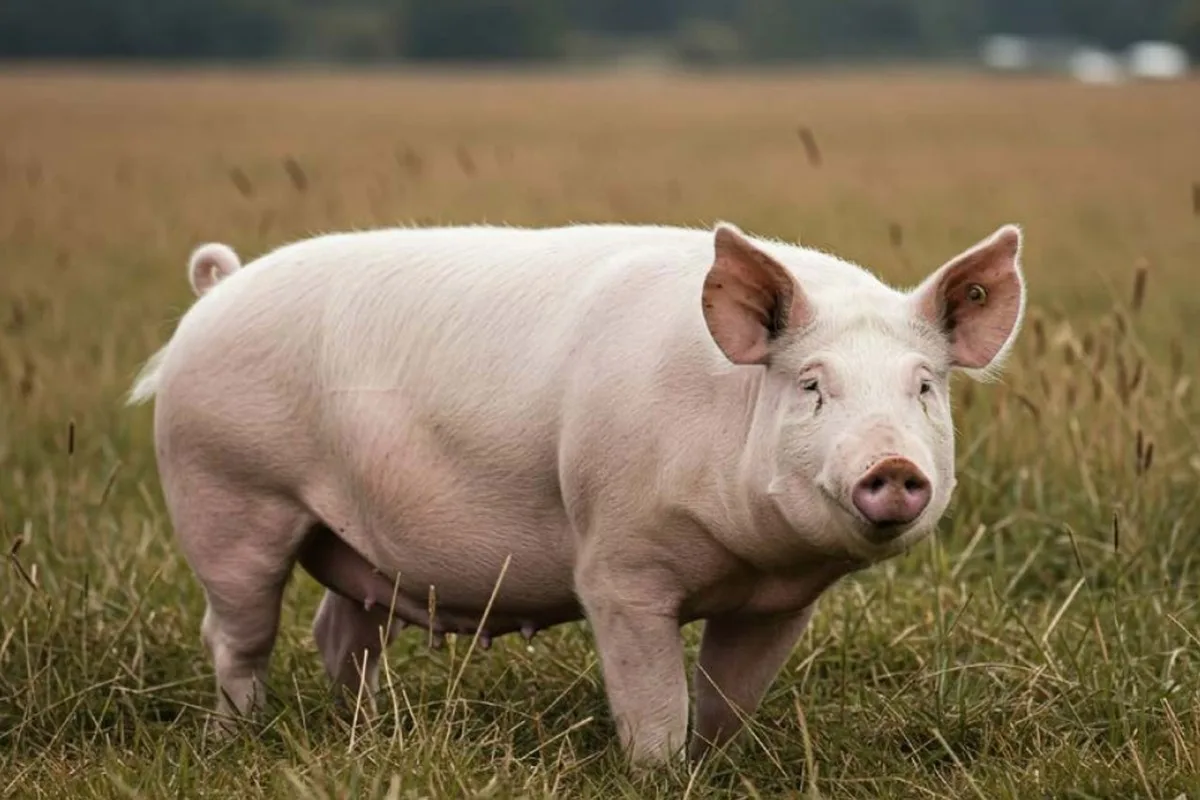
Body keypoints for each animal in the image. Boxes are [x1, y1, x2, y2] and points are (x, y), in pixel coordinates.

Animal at [127, 221, 1025, 765]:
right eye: (812, 384)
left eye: (923, 388)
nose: (894, 465)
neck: (745, 558)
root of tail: (215, 292)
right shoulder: (619, 569)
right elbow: (654, 705)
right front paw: (663, 772)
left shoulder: (780, 601)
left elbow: (728, 701)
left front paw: (718, 765)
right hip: (228, 492)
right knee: (236, 633)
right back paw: (234, 739)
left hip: (350, 538)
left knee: (340, 632)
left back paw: (370, 737)